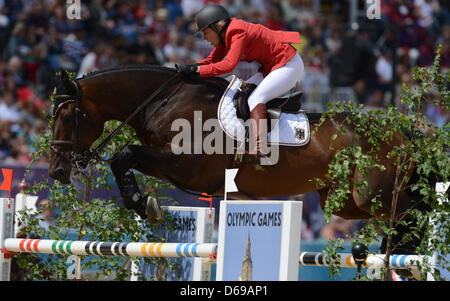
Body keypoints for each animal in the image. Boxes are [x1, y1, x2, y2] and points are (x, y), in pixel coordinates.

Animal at [49, 66, 432, 264]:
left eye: (66, 116)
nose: (56, 171)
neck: (163, 100)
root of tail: (404, 132)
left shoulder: (184, 165)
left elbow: (124, 154)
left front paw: (144, 204)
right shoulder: (169, 164)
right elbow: (124, 159)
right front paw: (142, 203)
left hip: (370, 193)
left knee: (416, 210)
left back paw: (403, 253)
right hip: (343, 200)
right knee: (409, 211)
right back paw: (398, 252)